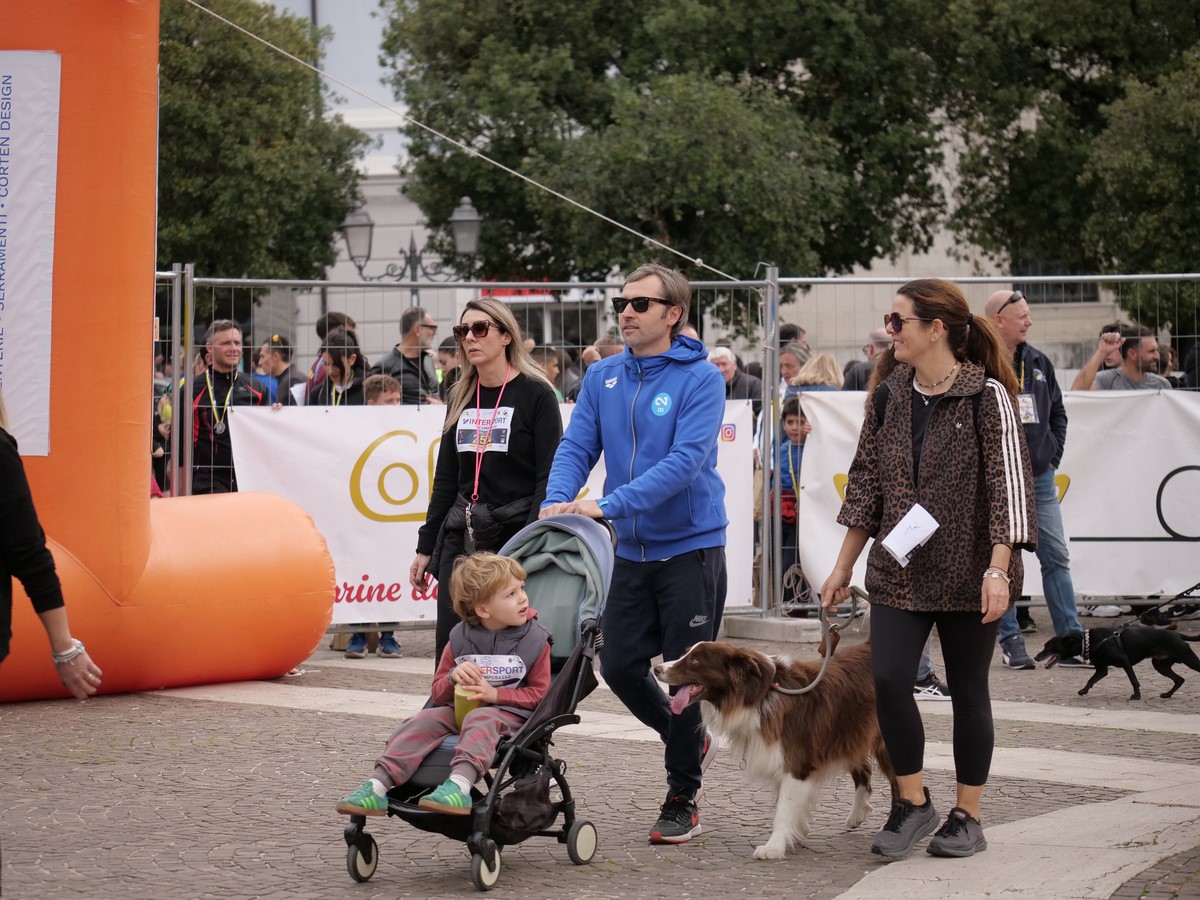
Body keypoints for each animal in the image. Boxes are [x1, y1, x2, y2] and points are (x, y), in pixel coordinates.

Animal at [653, 640, 894, 860]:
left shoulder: (796, 763)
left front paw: (774, 847)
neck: (757, 695)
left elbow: (783, 810)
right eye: (687, 654)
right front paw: (796, 831)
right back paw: (858, 814)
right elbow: (788, 805)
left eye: (695, 660)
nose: (656, 669)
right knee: (863, 769)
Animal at [1035, 627, 1200, 700]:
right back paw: (1167, 694)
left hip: (1188, 659)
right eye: (1045, 645)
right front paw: (1083, 691)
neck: (1088, 642)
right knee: (1180, 679)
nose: (1036, 657)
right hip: (1160, 665)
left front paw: (1137, 696)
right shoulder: (1102, 669)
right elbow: (1091, 680)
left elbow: (1134, 681)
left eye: (1049, 647)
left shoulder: (1124, 662)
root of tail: (1177, 634)